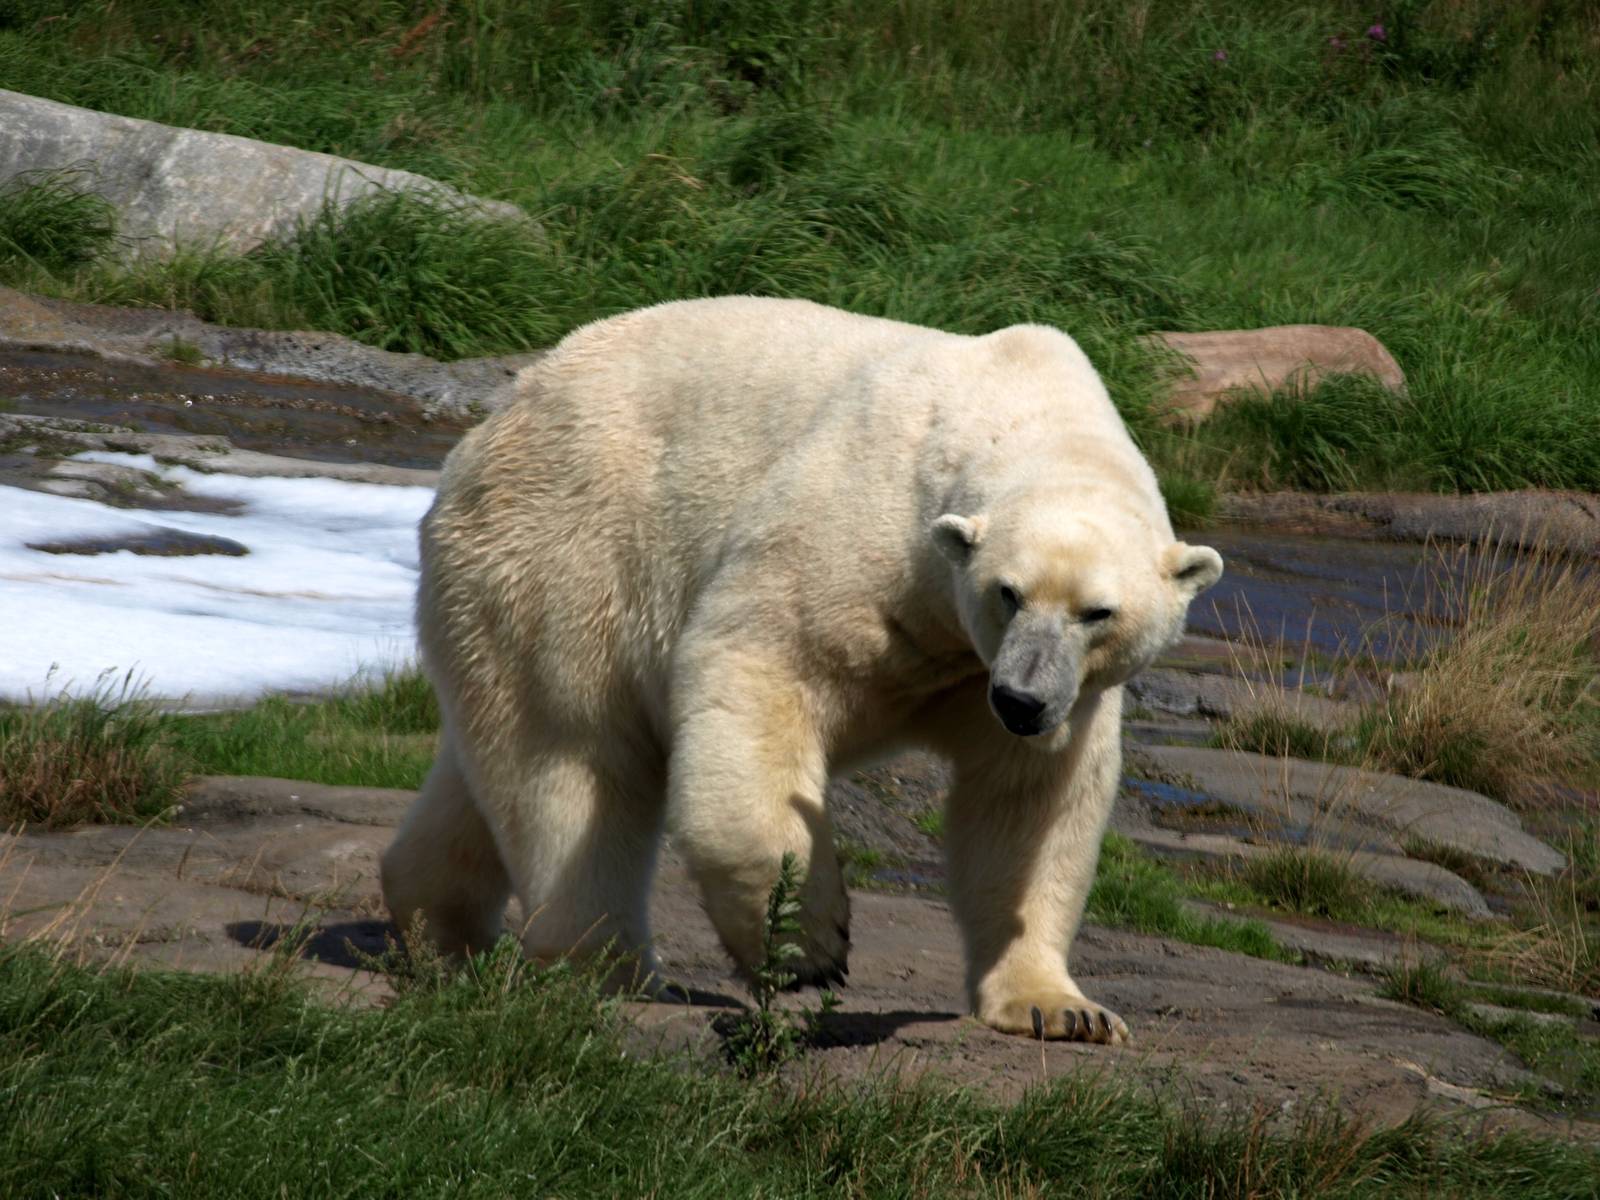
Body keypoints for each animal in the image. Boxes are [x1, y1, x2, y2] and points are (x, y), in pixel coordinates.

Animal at [380, 296, 1222, 1044]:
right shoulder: (860, 535)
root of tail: (495, 420)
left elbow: (1030, 805)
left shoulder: (1026, 684)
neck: (1013, 403)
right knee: (574, 763)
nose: (1020, 700)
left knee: (492, 764)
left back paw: (433, 924)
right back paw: (610, 964)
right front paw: (806, 947)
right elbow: (758, 674)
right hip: (571, 552)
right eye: (1007, 593)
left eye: (1098, 612)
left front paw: (1064, 1009)